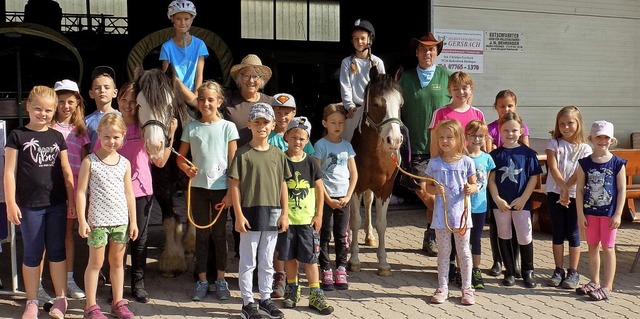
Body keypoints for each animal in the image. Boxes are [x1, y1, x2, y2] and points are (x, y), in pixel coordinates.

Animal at [134, 67, 196, 278]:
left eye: (169, 105)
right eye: (138, 104)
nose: (155, 146)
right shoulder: (161, 186)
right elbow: (170, 219)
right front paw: (172, 259)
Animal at [348, 65, 402, 278]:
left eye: (401, 104)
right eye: (377, 103)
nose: (394, 140)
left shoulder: (385, 189)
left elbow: (381, 223)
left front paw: (384, 263)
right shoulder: (355, 187)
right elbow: (355, 220)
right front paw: (354, 260)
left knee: (369, 202)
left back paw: (369, 236)